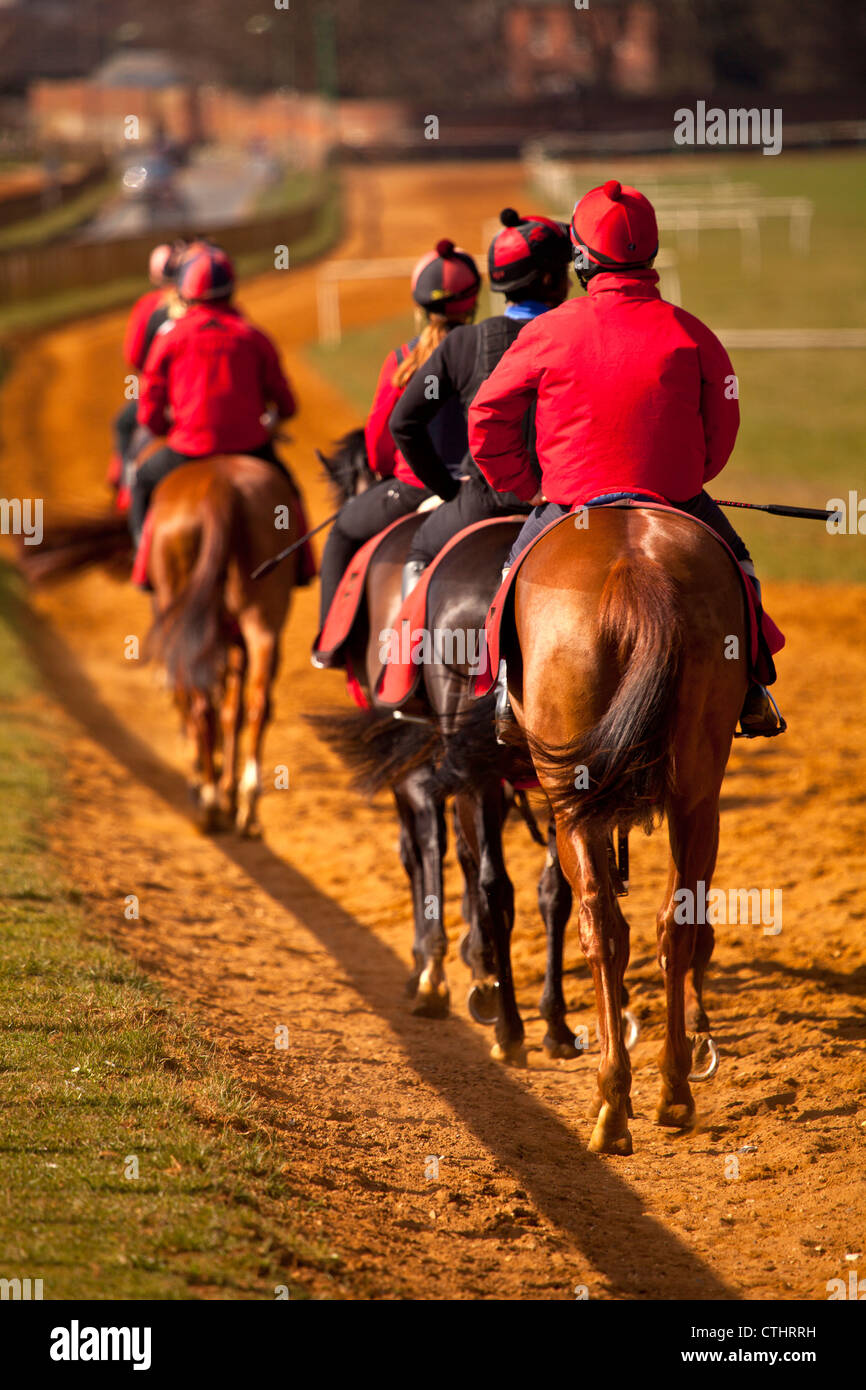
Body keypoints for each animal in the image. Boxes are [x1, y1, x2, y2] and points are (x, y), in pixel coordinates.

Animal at [145, 450, 301, 828]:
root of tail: (221, 486)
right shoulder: (235, 641)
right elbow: (234, 710)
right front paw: (226, 784)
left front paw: (205, 776)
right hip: (262, 622)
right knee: (258, 701)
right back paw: (245, 801)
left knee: (198, 701)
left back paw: (210, 798)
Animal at [508, 505, 745, 1156]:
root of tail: (635, 568)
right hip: (695, 798)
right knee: (673, 925)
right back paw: (673, 1091)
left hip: (572, 806)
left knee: (604, 927)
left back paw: (614, 1102)